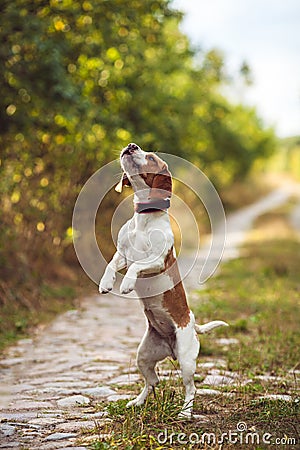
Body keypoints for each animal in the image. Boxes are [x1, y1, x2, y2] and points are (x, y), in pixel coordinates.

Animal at [99, 142, 227, 416]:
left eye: (150, 157)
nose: (131, 145)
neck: (143, 219)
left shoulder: (156, 261)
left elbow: (137, 266)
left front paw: (126, 285)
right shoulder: (122, 255)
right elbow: (111, 265)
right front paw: (106, 283)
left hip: (187, 361)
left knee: (191, 388)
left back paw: (185, 412)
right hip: (144, 356)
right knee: (153, 381)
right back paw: (137, 402)